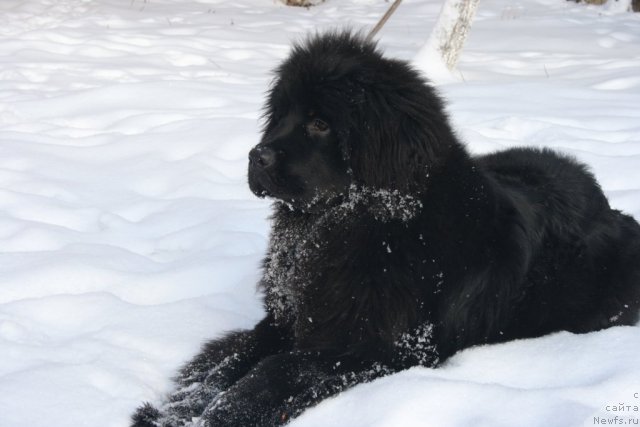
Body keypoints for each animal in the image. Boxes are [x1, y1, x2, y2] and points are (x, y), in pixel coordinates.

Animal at [131, 30, 640, 427]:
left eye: (320, 123)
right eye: (281, 115)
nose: (257, 155)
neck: (345, 229)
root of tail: (614, 210)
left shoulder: (376, 347)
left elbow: (270, 372)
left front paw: (215, 415)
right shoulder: (290, 319)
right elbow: (229, 364)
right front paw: (176, 410)